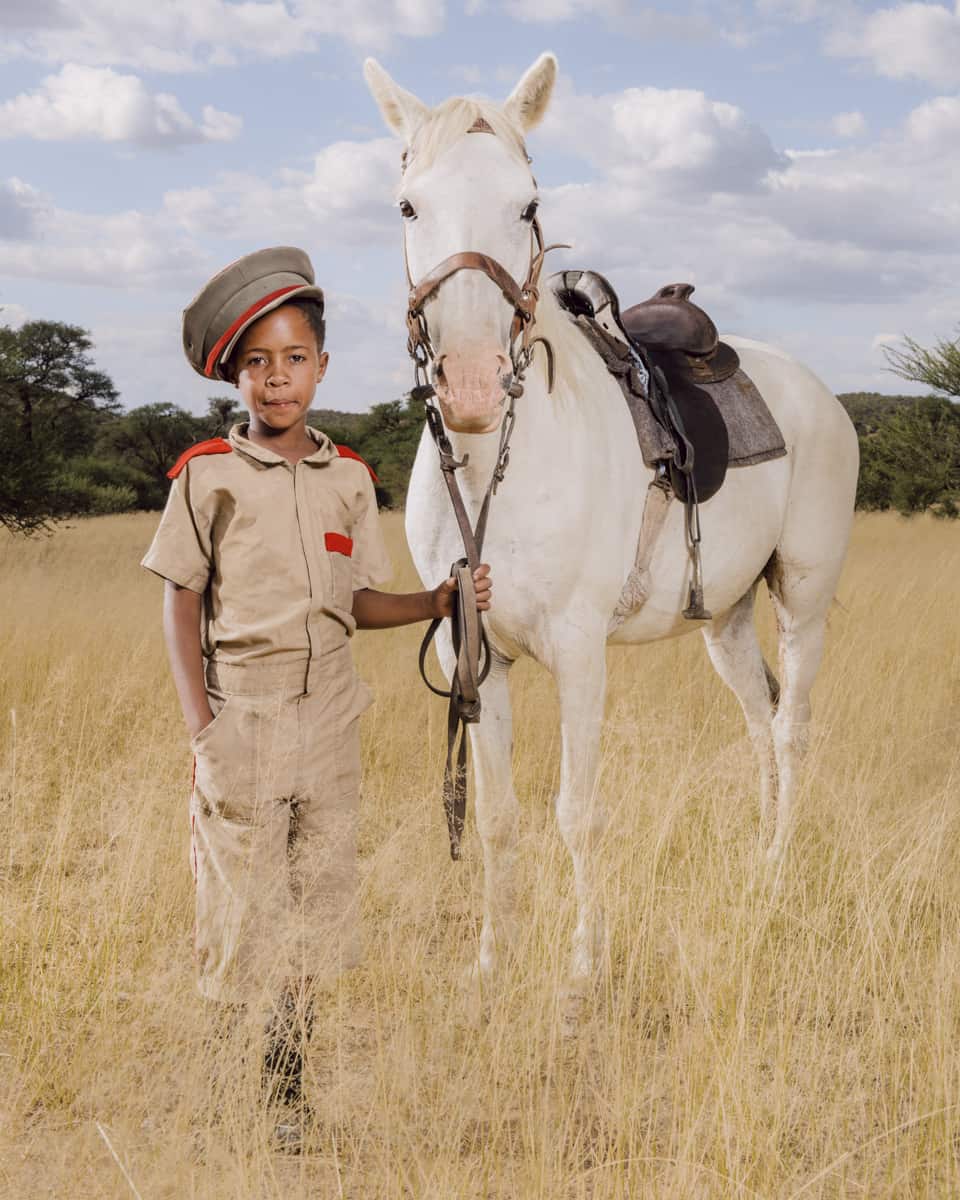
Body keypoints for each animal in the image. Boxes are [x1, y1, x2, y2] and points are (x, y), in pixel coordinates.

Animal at [364, 54, 859, 993]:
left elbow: (576, 813)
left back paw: (777, 870)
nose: (473, 385)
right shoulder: (471, 655)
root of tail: (817, 389)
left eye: (528, 204)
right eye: (407, 206)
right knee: (758, 719)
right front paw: (494, 962)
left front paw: (583, 969)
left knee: (792, 730)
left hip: (804, 599)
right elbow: (497, 817)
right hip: (726, 617)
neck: (499, 467)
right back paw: (754, 854)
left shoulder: (580, 652)